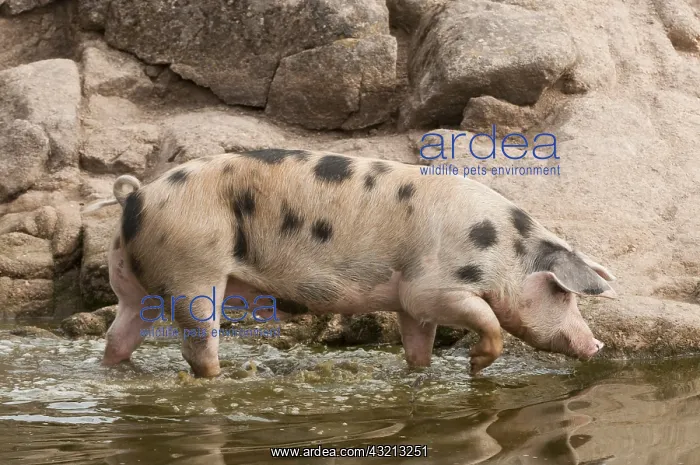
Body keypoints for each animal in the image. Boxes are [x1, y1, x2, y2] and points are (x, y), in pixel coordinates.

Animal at [82, 149, 618, 378]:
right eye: (563, 293)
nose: (596, 345)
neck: (503, 248)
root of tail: (138, 197)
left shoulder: (410, 302)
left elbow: (418, 345)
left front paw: (421, 373)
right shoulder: (434, 285)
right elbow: (487, 318)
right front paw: (475, 365)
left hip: (131, 280)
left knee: (118, 334)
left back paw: (116, 372)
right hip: (193, 272)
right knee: (197, 347)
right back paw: (225, 379)